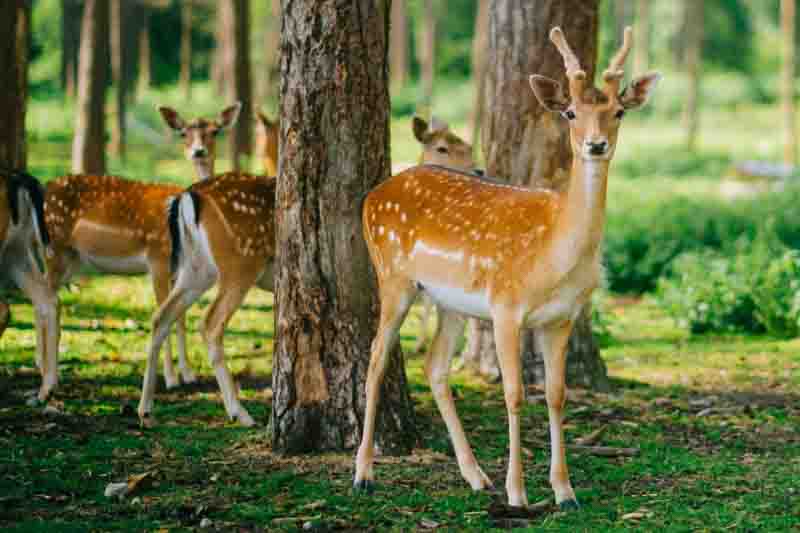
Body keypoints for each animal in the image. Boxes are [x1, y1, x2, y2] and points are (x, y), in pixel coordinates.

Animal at [31, 104, 242, 404]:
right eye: (183, 133)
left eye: (215, 131)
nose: (199, 151)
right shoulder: (157, 257)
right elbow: (164, 314)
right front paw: (171, 379)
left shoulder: (179, 267)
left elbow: (180, 316)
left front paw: (188, 374)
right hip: (55, 247)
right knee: (44, 298)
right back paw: (43, 370)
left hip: (71, 257)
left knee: (47, 297)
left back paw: (45, 367)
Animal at [137, 171, 276, 427]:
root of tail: (187, 196)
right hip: (241, 263)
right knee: (210, 322)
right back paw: (240, 414)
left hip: (197, 268)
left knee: (160, 316)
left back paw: (146, 412)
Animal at [354, 26, 660, 509]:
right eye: (571, 112)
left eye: (618, 112)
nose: (595, 145)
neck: (554, 256)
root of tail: (371, 195)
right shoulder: (505, 305)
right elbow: (514, 395)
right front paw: (519, 493)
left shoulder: (561, 317)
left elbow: (556, 395)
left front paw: (564, 491)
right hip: (393, 276)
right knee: (376, 358)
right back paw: (363, 473)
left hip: (451, 302)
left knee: (435, 367)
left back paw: (476, 476)